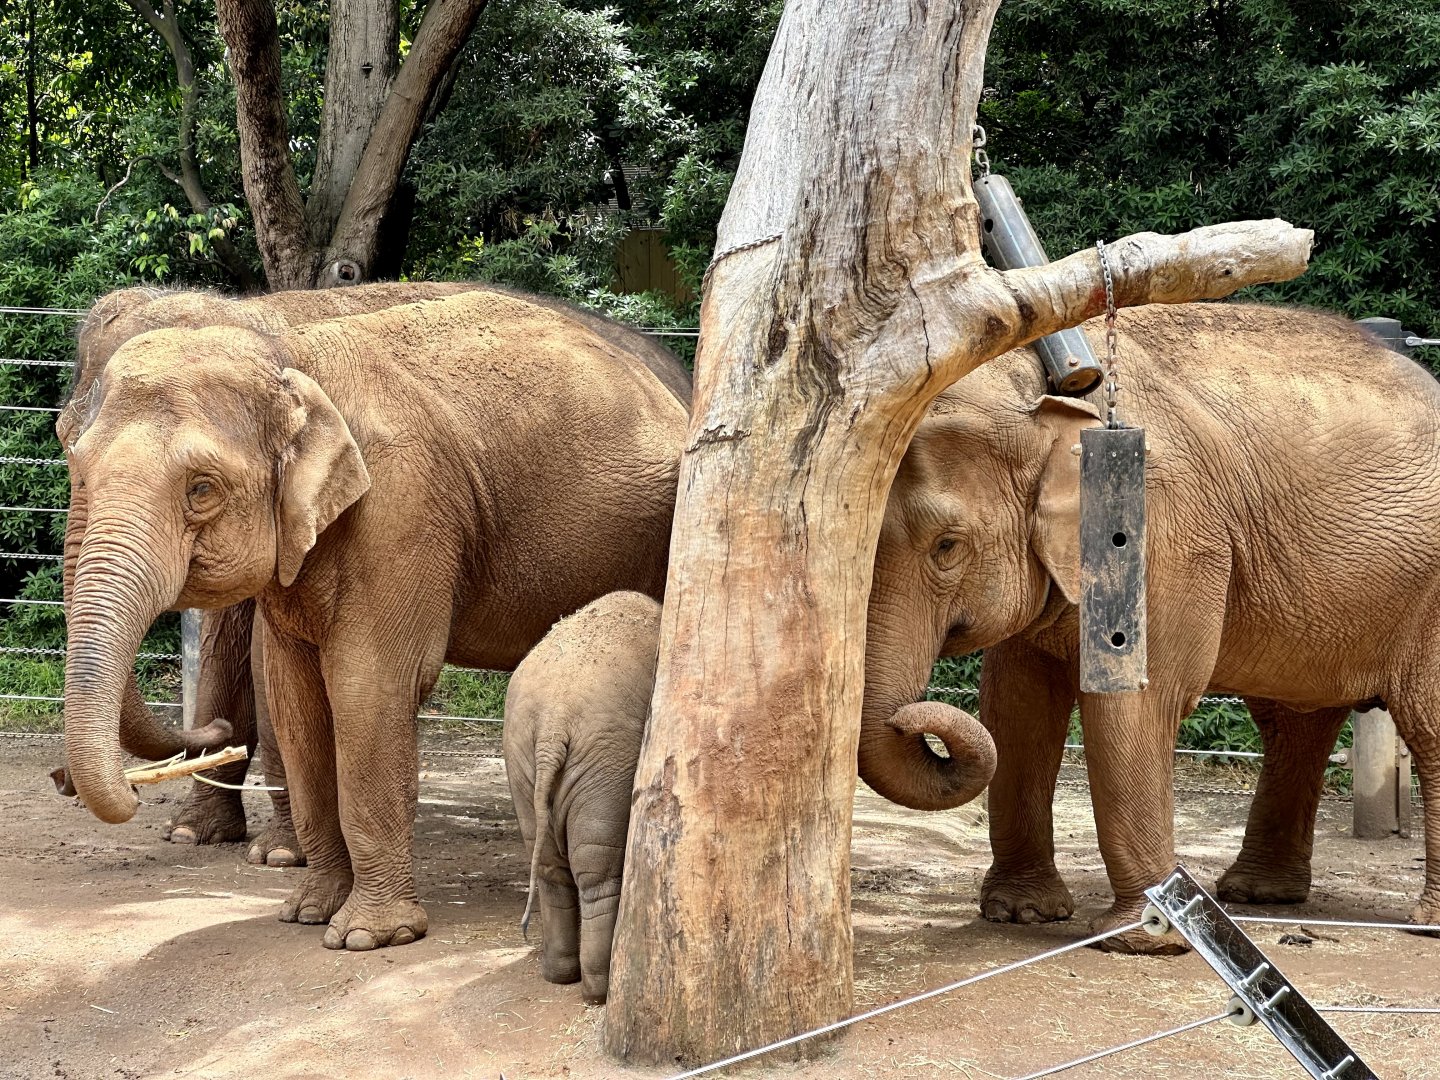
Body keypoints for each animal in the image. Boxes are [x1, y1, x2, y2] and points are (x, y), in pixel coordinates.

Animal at [60, 286, 690, 950]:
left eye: (201, 488)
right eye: (76, 465)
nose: (217, 736)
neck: (286, 347)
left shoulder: (400, 510)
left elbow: (367, 688)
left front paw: (367, 936)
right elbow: (295, 696)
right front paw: (308, 910)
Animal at [503, 590, 659, 1005]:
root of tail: (553, 719)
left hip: (521, 756)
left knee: (548, 867)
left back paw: (559, 975)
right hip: (606, 761)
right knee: (597, 873)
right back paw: (598, 992)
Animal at [858, 302, 1440, 953]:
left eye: (947, 546)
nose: (912, 714)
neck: (1038, 391)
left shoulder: (1160, 532)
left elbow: (1133, 703)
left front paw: (1141, 939)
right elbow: (1015, 707)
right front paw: (1022, 913)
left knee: (1424, 725)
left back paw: (1420, 925)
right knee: (1295, 723)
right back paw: (1257, 895)